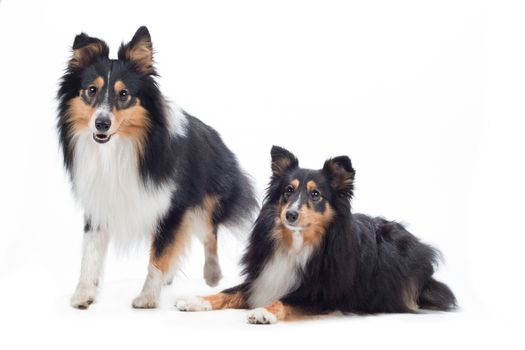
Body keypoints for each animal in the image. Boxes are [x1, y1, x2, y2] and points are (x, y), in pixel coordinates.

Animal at [58, 26, 256, 308]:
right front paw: (83, 294)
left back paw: (212, 274)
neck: (119, 148)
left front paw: (147, 297)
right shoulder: (99, 200)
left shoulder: (173, 206)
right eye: (91, 90)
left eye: (124, 94)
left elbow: (159, 254)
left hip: (206, 198)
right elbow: (91, 252)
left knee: (209, 231)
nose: (101, 124)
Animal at [176, 146, 454, 324]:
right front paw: (195, 300)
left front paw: (264, 312)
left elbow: (285, 301)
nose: (290, 215)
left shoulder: (322, 294)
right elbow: (228, 292)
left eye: (316, 194)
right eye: (288, 191)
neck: (298, 243)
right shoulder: (263, 278)